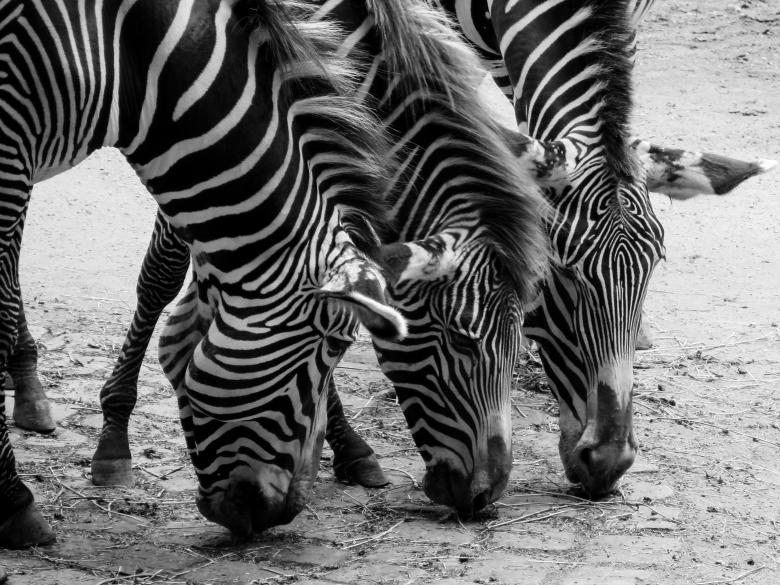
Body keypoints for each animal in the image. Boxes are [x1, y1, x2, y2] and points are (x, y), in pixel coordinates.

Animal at [0, 0, 549, 546]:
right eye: (461, 340)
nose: (487, 495)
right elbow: (163, 278)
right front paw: (110, 440)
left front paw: (350, 449)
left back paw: (26, 388)